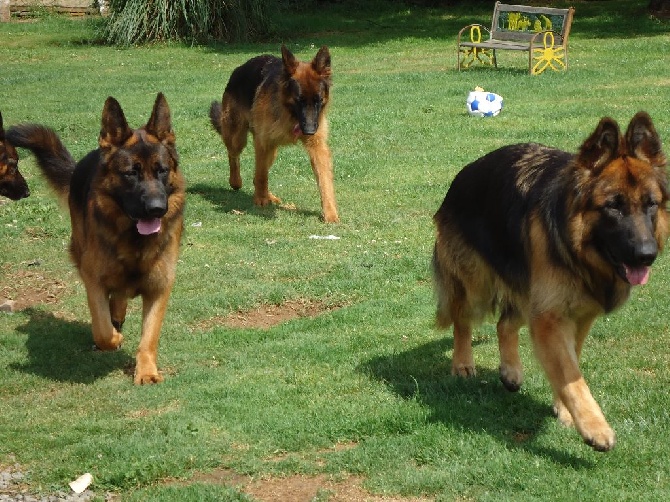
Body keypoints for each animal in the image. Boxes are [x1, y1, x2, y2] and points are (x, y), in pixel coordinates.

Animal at [7, 93, 186, 384]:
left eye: (162, 170)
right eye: (131, 173)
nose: (157, 209)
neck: (133, 240)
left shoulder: (160, 286)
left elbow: (149, 336)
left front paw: (147, 370)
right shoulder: (94, 280)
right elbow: (102, 331)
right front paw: (114, 338)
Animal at [211, 43, 342, 224]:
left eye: (318, 100)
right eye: (299, 100)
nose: (309, 131)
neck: (290, 113)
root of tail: (239, 69)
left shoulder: (318, 147)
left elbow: (324, 181)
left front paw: (330, 212)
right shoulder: (262, 142)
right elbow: (261, 175)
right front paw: (260, 200)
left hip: (272, 151)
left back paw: (268, 195)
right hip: (239, 138)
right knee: (234, 156)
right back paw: (236, 182)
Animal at [434, 113, 668, 452]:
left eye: (651, 204)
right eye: (613, 206)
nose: (646, 255)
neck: (578, 252)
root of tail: (463, 174)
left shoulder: (577, 315)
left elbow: (570, 365)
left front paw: (565, 410)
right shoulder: (551, 317)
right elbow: (572, 375)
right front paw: (594, 427)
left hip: (527, 292)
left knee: (504, 323)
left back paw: (510, 371)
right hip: (478, 285)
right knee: (462, 318)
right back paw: (462, 363)